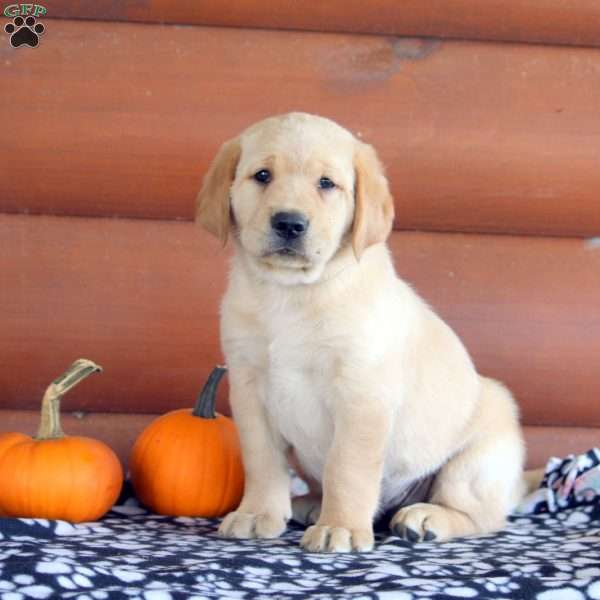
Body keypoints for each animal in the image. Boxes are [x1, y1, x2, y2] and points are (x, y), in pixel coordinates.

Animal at [198, 111, 524, 552]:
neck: (291, 294)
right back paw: (310, 503)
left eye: (326, 183)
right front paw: (257, 514)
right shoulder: (250, 389)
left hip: (477, 459)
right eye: (262, 175)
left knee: (481, 515)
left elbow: (347, 467)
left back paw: (425, 517)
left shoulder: (361, 392)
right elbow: (262, 460)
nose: (289, 223)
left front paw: (340, 528)